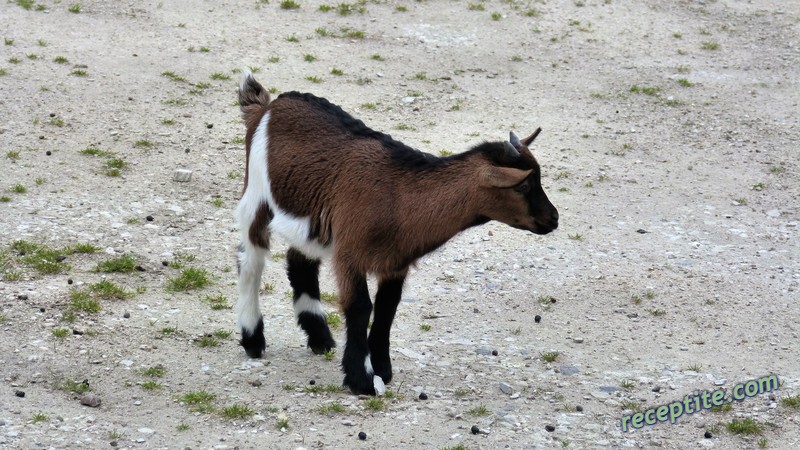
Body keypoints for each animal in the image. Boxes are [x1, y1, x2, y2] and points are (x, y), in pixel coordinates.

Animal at [233, 74, 556, 394]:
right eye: (523, 186)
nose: (553, 219)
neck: (397, 197)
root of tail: (267, 106)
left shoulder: (395, 261)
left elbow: (387, 309)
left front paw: (382, 369)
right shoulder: (349, 253)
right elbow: (361, 307)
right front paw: (361, 379)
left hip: (312, 221)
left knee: (299, 261)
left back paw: (320, 337)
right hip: (256, 196)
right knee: (250, 261)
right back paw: (253, 339)